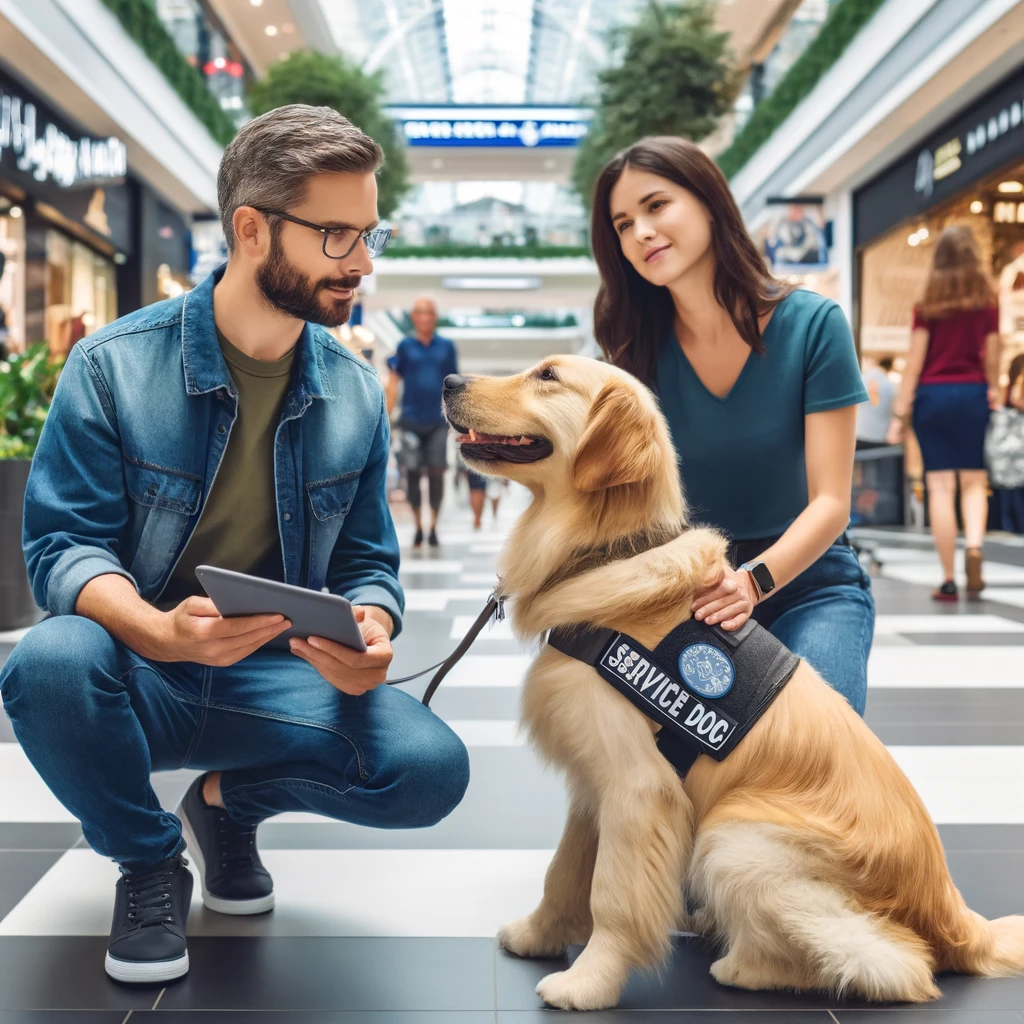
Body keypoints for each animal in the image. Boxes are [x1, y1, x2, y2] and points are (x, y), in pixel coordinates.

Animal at [444, 356, 1024, 1011]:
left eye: (547, 375)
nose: (448, 382)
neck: (607, 551)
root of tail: (957, 918)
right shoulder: (593, 781)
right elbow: (565, 871)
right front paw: (537, 934)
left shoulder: (640, 789)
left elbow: (611, 896)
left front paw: (587, 982)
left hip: (733, 840)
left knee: (898, 965)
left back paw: (744, 966)